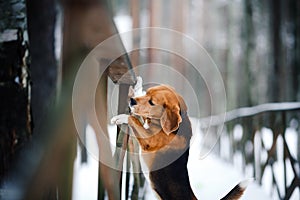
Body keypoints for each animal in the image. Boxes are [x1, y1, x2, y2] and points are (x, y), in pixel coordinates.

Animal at [111, 83, 247, 199]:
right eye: (147, 93)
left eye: (152, 102)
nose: (132, 101)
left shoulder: (150, 140)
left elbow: (134, 119)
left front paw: (122, 117)